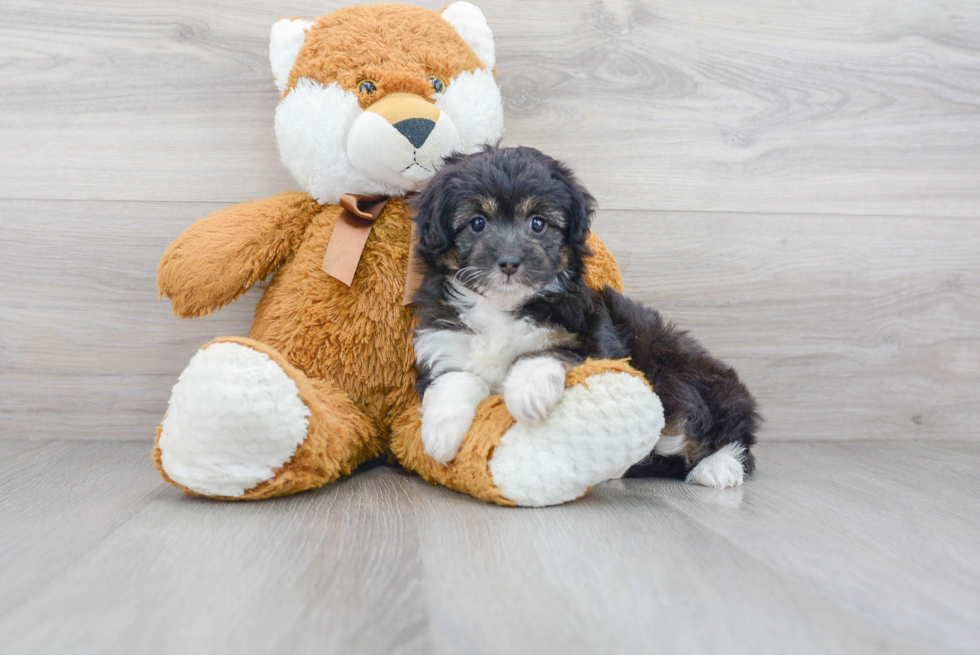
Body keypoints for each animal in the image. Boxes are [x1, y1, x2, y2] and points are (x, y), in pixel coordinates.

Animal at [410, 146, 760, 490]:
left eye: (538, 224)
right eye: (477, 223)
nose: (509, 262)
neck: (502, 307)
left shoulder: (593, 340)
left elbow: (544, 352)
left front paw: (528, 393)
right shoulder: (443, 341)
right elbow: (455, 377)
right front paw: (440, 433)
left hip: (684, 371)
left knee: (725, 430)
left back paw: (719, 466)